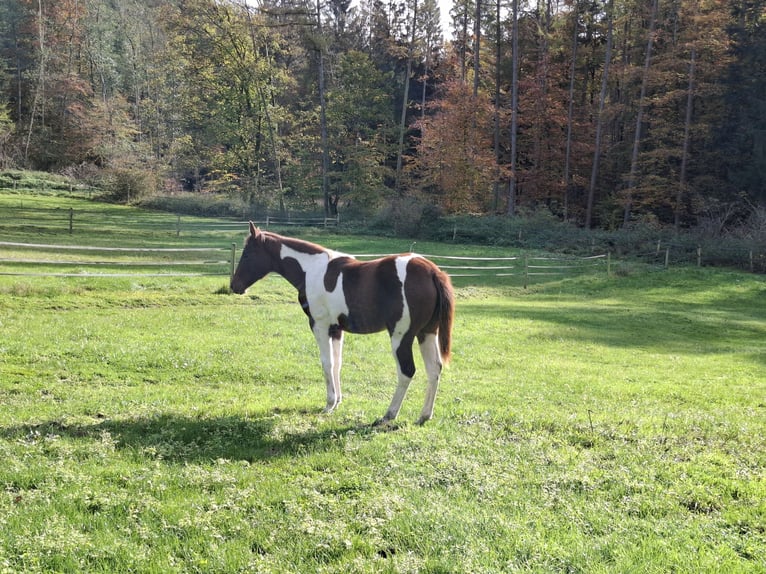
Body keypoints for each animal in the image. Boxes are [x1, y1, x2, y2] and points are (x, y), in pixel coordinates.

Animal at [228, 223, 456, 426]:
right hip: (427, 333)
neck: (312, 270)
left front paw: (329, 404)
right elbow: (337, 363)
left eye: (247, 255)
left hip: (402, 336)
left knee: (406, 371)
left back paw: (388, 415)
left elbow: (327, 362)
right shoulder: (336, 329)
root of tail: (433, 272)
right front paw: (337, 402)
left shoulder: (319, 325)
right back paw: (424, 416)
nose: (234, 286)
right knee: (434, 369)